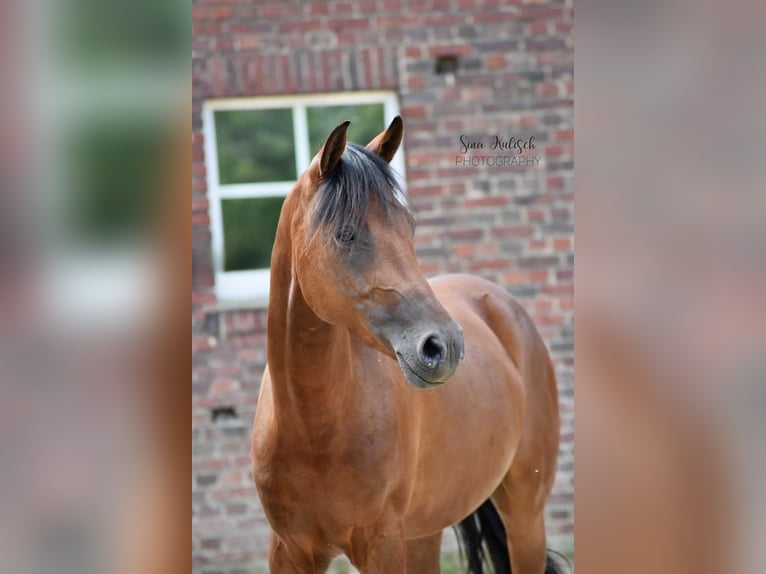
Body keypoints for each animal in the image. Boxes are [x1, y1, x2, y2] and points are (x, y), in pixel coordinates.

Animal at [251, 116, 564, 573]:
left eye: (408, 229)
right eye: (345, 234)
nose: (444, 346)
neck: (313, 430)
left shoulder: (383, 545)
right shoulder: (288, 550)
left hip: (525, 518)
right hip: (424, 535)